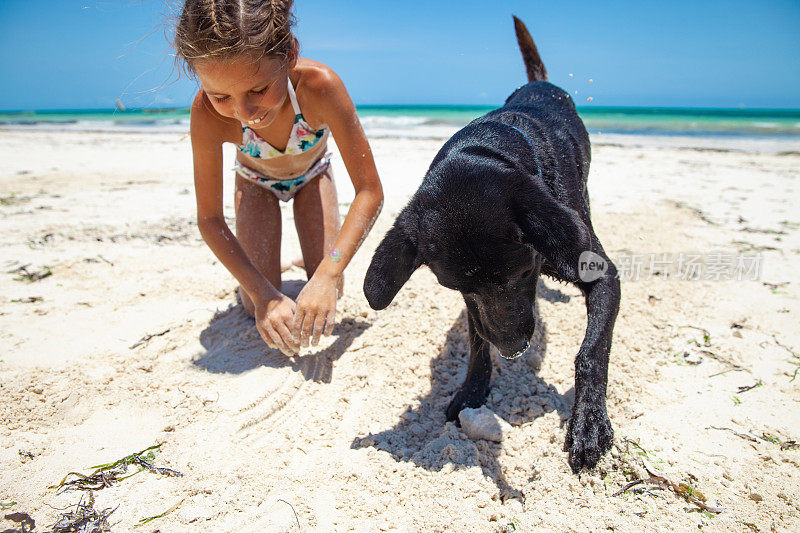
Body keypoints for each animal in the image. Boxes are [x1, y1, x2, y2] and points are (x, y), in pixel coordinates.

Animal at [362, 16, 620, 470]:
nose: (515, 349)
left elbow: (592, 352)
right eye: (458, 287)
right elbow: (477, 342)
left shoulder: (603, 275)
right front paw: (471, 390)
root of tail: (541, 84)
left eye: (522, 272)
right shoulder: (473, 304)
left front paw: (588, 422)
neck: (489, 147)